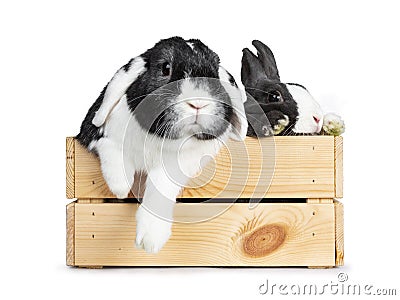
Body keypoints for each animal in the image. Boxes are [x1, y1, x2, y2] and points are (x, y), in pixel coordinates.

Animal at [75, 37, 247, 253]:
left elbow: (161, 184)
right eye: (165, 67)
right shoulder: (96, 135)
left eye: (215, 71)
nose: (198, 103)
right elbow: (110, 146)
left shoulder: (183, 161)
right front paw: (120, 186)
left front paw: (151, 239)